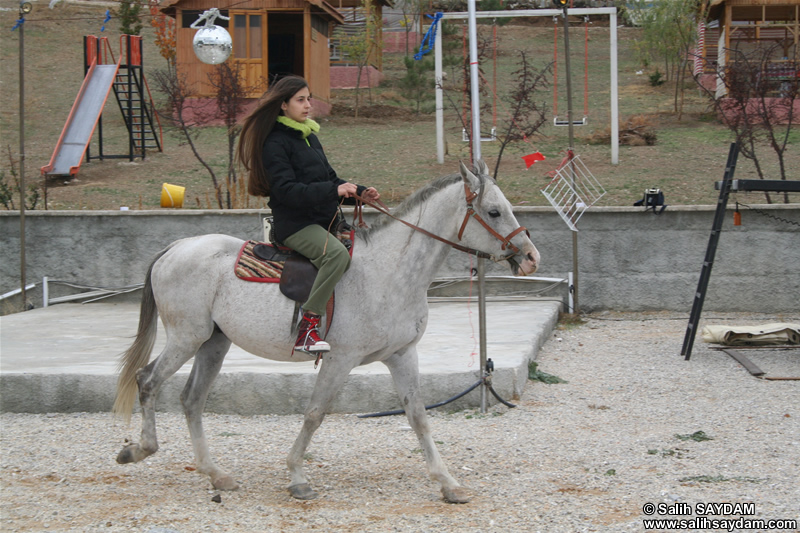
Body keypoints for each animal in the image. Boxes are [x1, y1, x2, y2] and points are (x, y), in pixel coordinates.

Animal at [114, 160, 536, 500]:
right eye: (494, 211)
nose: (531, 257)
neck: (389, 271)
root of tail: (176, 247)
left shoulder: (402, 355)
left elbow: (417, 415)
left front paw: (448, 483)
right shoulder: (340, 359)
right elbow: (315, 413)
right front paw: (298, 477)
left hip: (214, 344)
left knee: (191, 399)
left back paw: (216, 475)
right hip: (187, 338)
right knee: (148, 380)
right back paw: (139, 449)